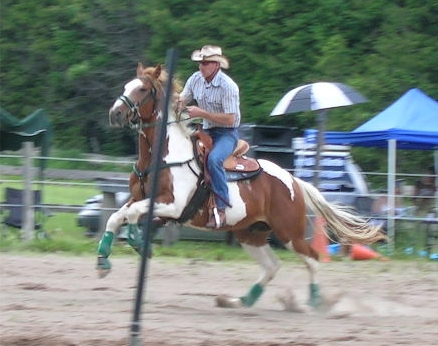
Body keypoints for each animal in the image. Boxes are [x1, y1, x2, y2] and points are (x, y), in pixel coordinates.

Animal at [97, 62, 384, 308]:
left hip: (289, 233)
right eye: (126, 86)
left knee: (312, 259)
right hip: (250, 233)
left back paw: (314, 302)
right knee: (272, 266)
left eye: (142, 89)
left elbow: (132, 214)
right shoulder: (141, 199)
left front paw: (137, 243)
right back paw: (240, 301)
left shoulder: (173, 205)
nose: (115, 113)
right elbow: (117, 216)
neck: (164, 156)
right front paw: (103, 261)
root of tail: (293, 180)